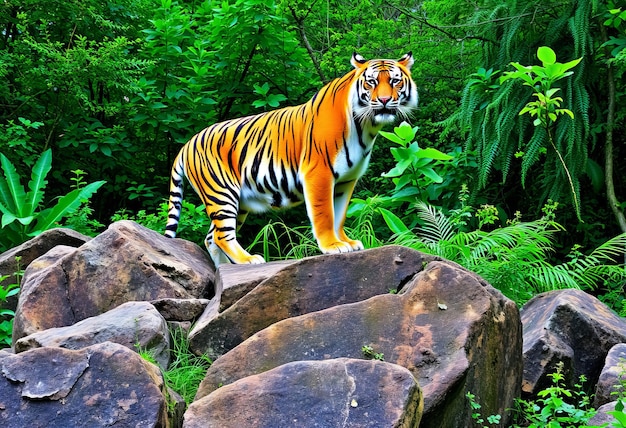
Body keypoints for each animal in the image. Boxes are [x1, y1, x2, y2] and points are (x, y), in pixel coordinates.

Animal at [166, 51, 416, 266]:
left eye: (395, 81)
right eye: (371, 82)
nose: (384, 100)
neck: (366, 126)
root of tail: (187, 143)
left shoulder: (346, 180)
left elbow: (340, 214)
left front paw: (346, 242)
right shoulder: (319, 173)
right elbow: (325, 214)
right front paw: (332, 245)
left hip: (237, 202)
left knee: (211, 236)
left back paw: (225, 268)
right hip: (221, 192)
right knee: (221, 235)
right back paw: (248, 260)